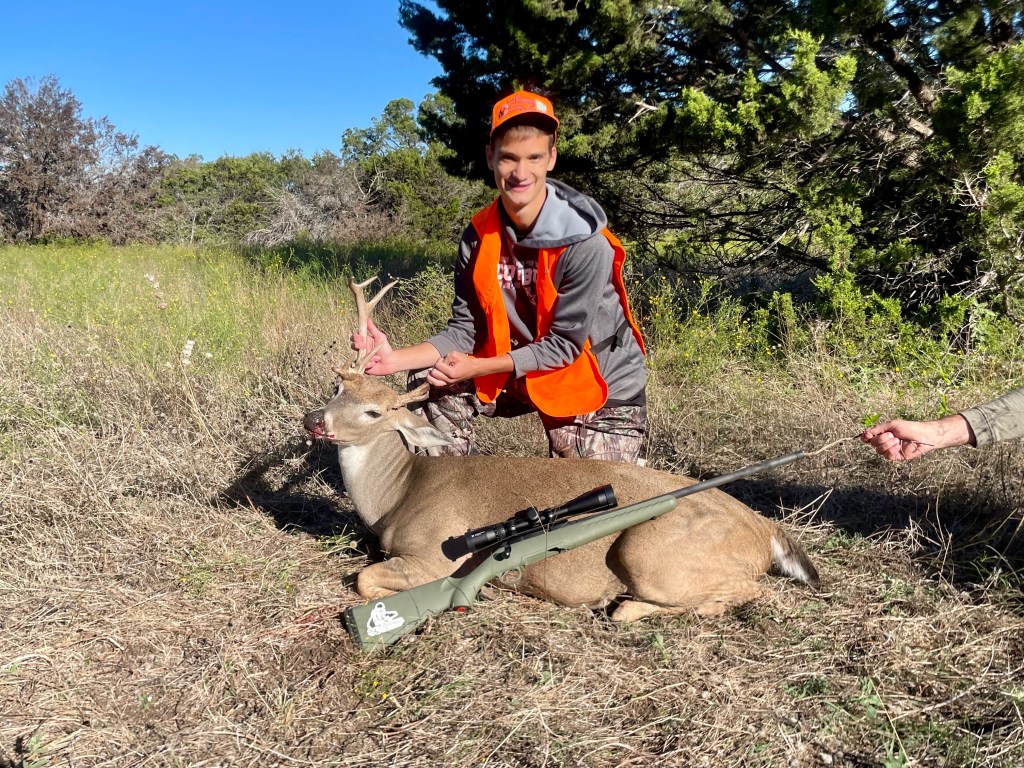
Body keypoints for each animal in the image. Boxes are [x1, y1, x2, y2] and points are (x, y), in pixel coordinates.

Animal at [302, 277, 820, 623]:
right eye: (336, 388)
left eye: (374, 412)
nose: (313, 421)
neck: (397, 496)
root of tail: (767, 529)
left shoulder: (433, 556)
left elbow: (363, 579)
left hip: (649, 552)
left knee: (750, 591)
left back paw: (620, 604)